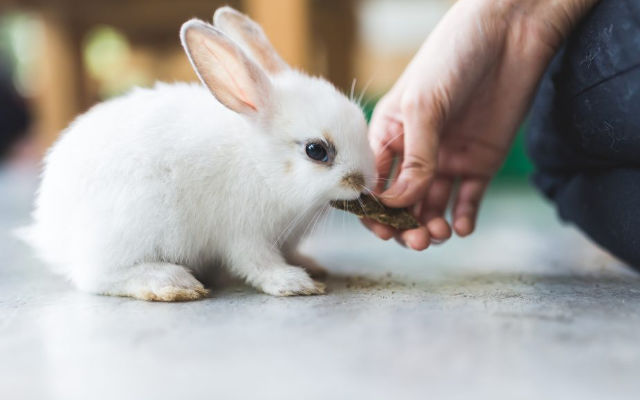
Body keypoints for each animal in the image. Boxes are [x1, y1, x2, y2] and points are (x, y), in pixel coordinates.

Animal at [21, 7, 376, 300]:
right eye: (316, 151)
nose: (363, 181)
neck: (260, 164)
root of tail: (50, 230)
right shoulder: (244, 233)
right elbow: (258, 263)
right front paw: (295, 283)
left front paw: (310, 266)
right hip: (132, 225)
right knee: (96, 276)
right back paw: (171, 282)